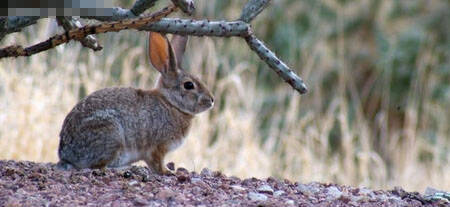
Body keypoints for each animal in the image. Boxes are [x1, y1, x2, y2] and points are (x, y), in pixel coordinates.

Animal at [57, 32, 215, 175]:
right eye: (189, 85)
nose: (212, 100)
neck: (171, 103)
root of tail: (67, 154)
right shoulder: (157, 147)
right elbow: (157, 163)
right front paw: (168, 172)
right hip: (111, 136)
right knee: (97, 166)